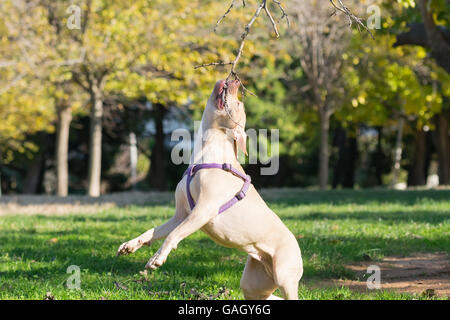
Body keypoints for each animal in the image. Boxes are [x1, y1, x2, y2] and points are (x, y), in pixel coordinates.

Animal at [118, 79, 304, 300]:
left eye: (238, 104)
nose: (235, 81)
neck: (206, 151)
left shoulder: (202, 211)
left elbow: (174, 235)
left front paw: (157, 258)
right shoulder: (181, 215)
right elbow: (154, 231)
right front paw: (131, 244)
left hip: (284, 274)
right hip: (253, 283)